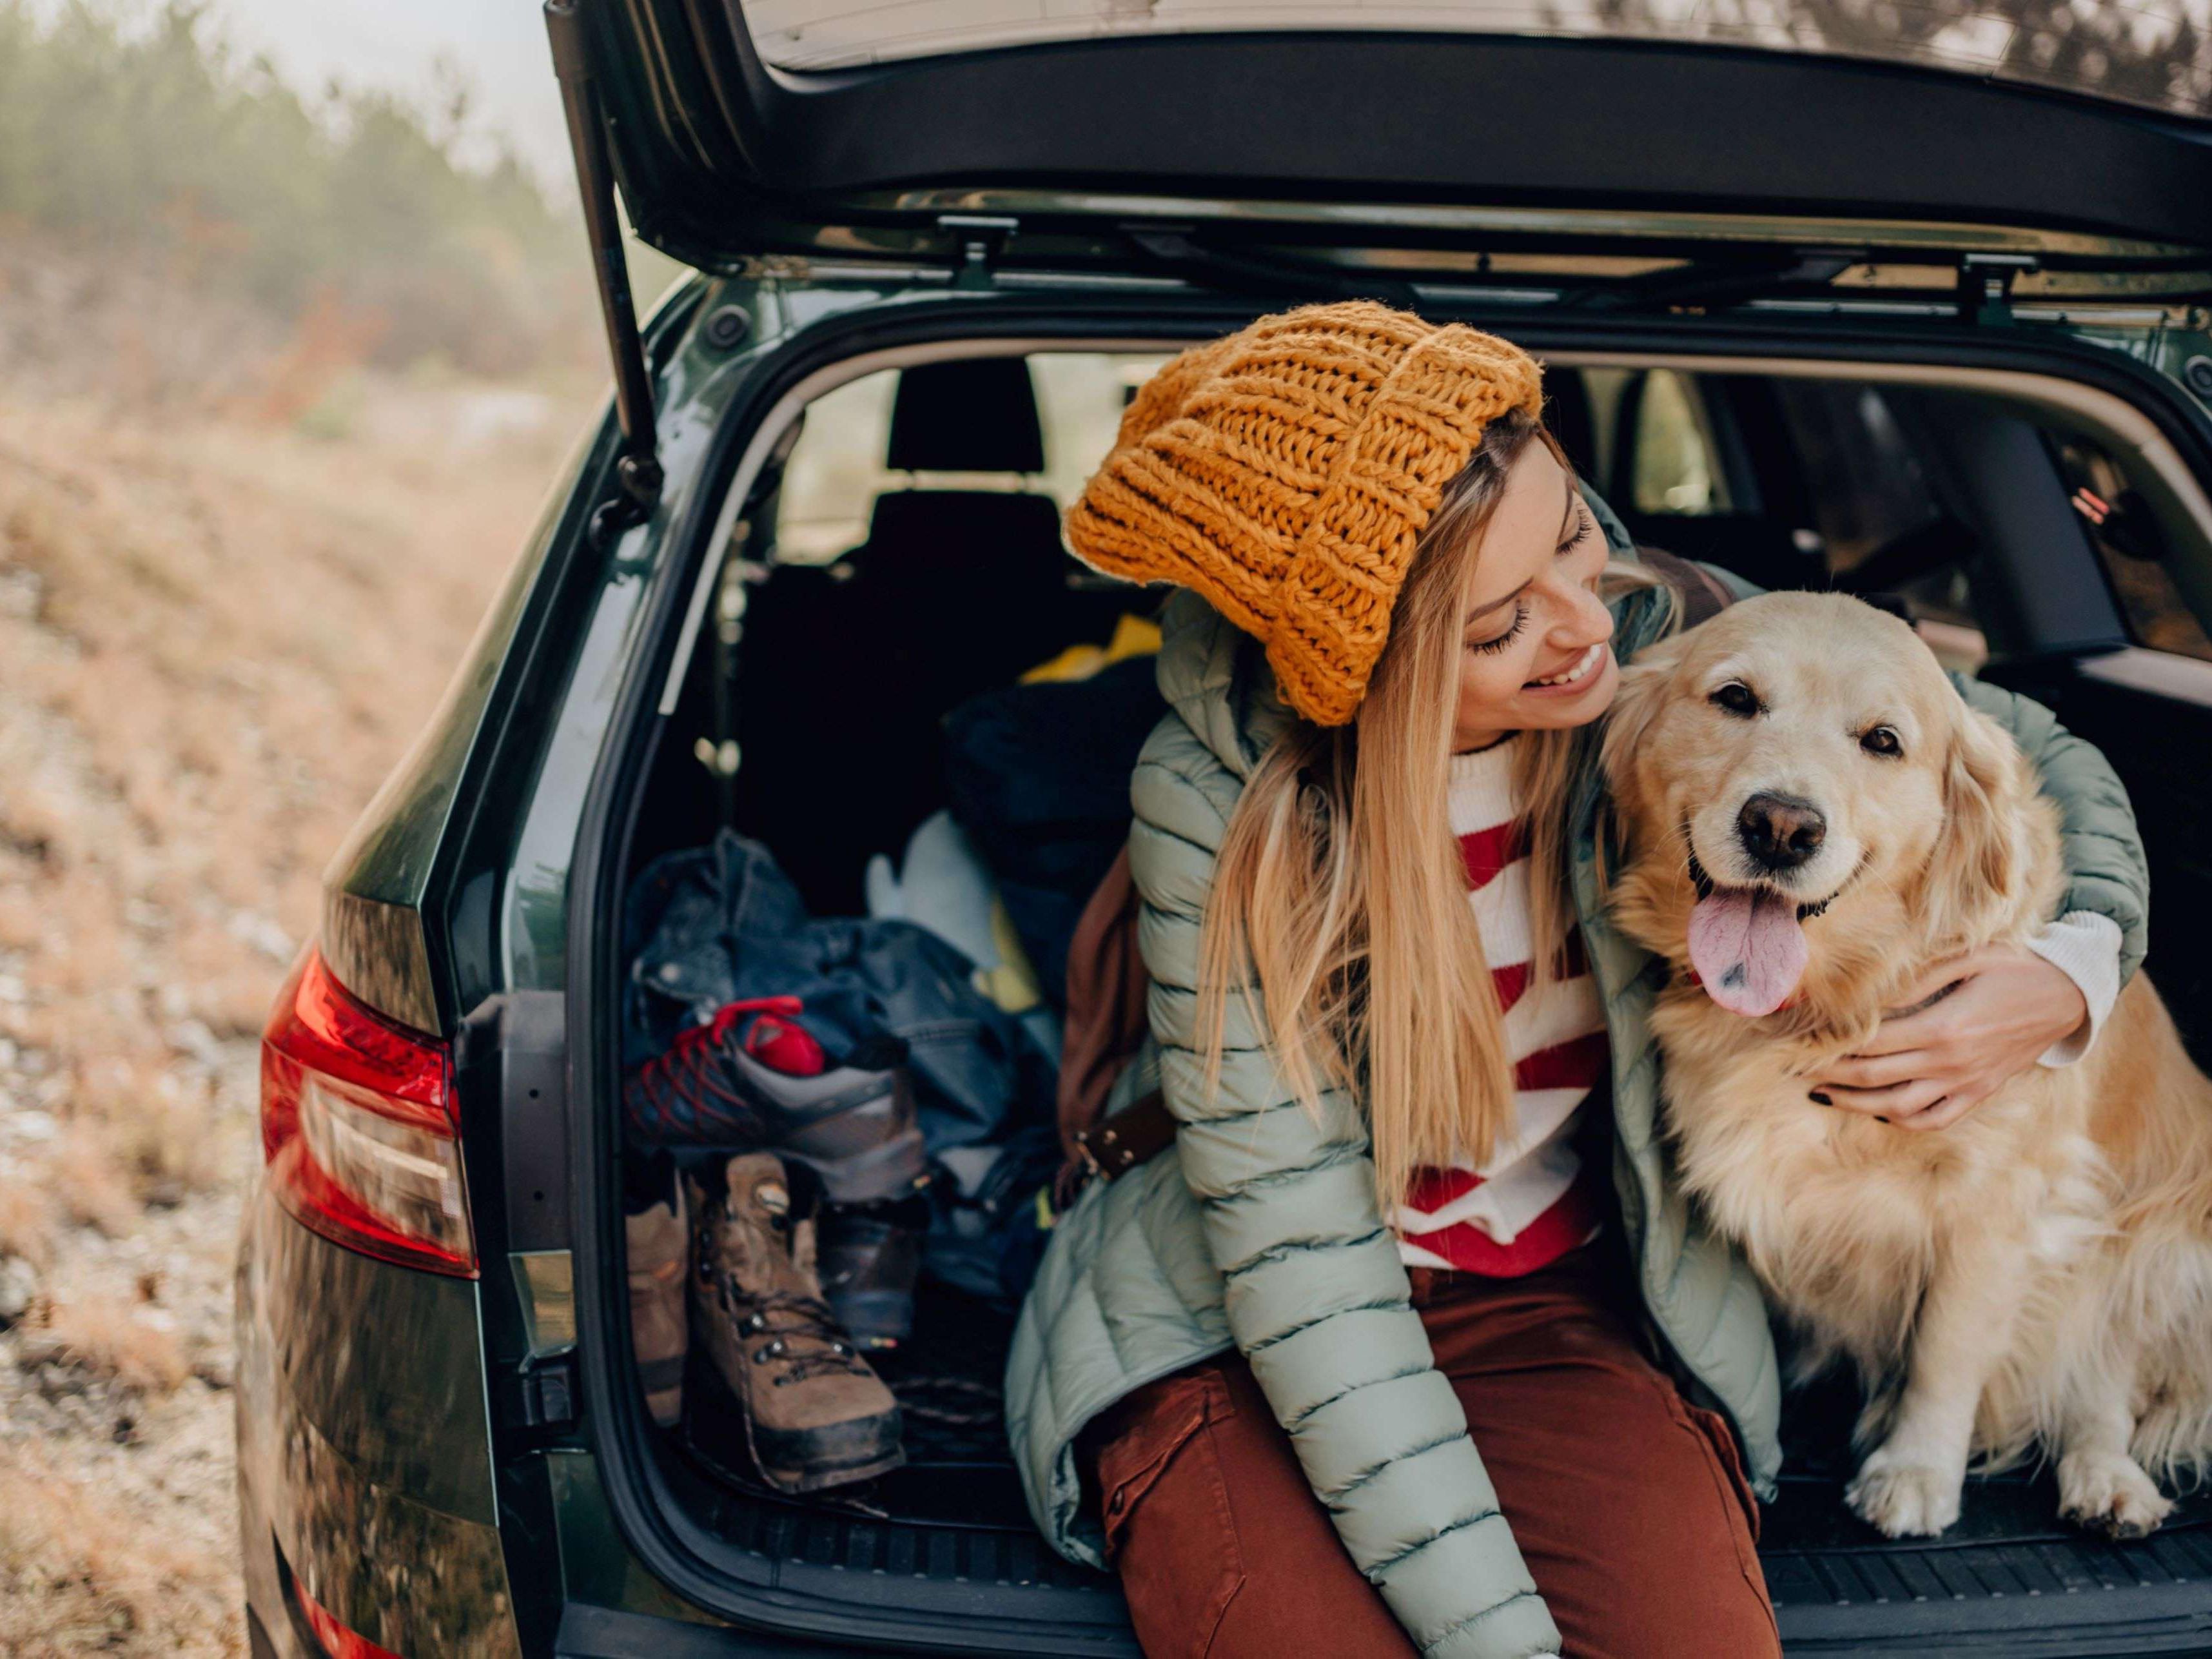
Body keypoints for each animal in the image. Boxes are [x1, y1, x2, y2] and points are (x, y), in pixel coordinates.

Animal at [1610, 593, 2212, 1539]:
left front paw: (1915, 1471)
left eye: (1883, 741)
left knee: (2103, 1376)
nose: (1780, 826)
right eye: (1734, 698)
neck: (1827, 1003)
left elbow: (1946, 1349)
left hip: (2150, 1244)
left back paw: (2107, 1480)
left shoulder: (2001, 1201)